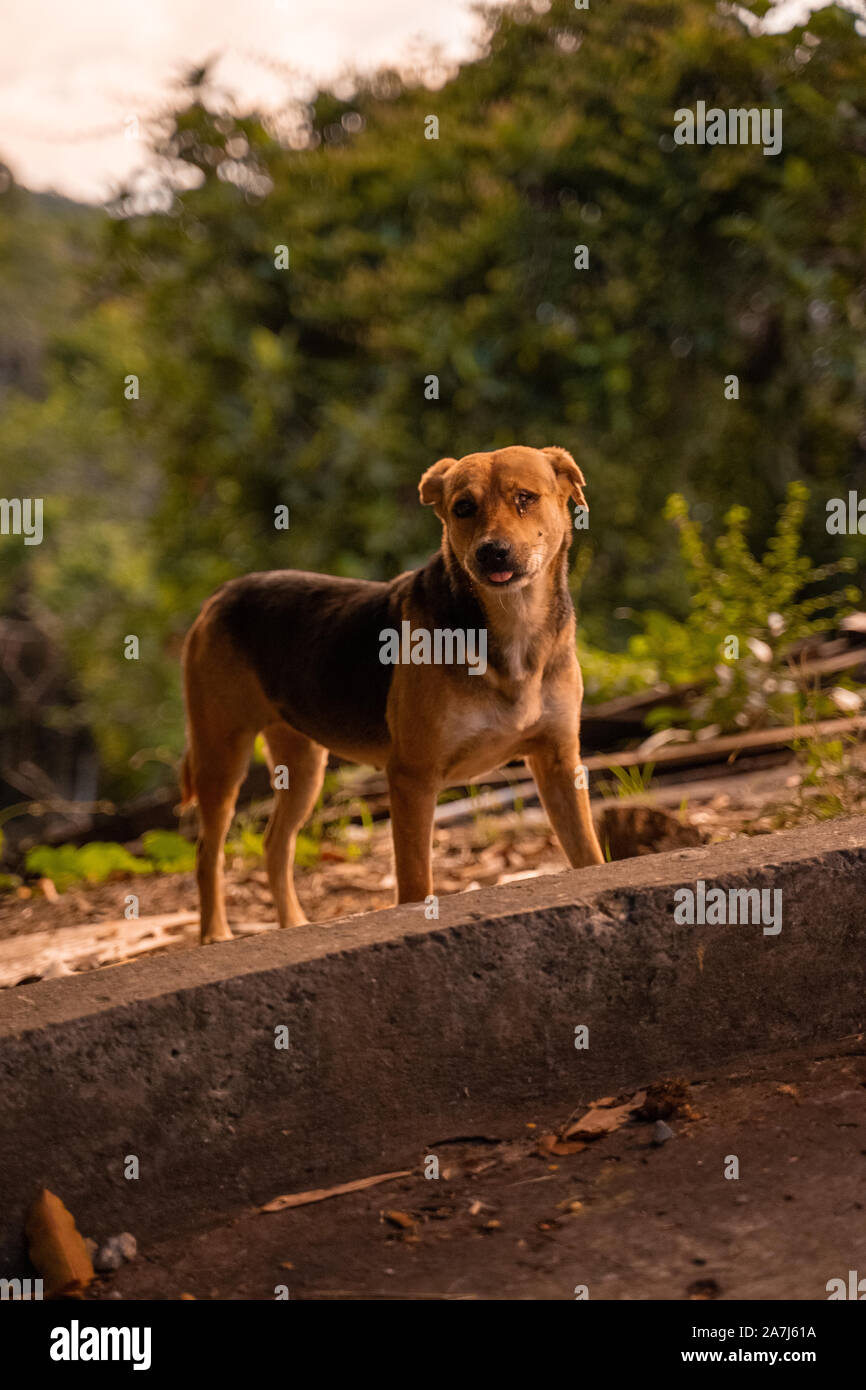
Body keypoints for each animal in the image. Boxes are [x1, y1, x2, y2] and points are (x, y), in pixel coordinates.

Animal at [180, 444, 603, 945]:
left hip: (302, 765)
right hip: (221, 756)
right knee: (208, 852)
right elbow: (416, 883)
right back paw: (215, 934)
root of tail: (221, 594)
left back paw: (293, 925)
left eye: (525, 498)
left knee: (275, 843)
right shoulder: (412, 777)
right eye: (464, 508)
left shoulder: (558, 761)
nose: (491, 551)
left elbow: (589, 855)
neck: (512, 625)